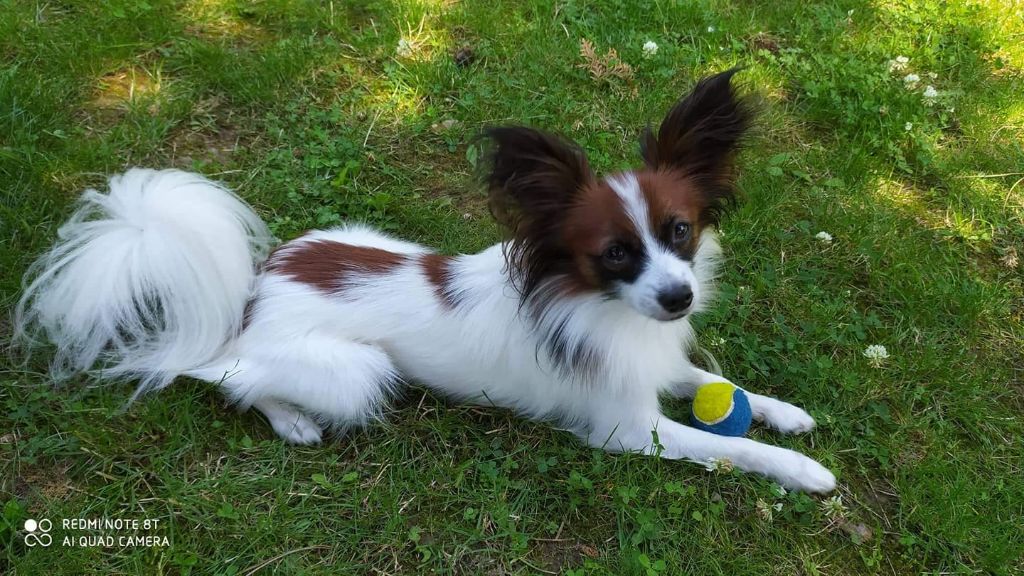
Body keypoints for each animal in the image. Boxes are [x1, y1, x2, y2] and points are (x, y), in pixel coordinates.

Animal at [14, 69, 831, 491]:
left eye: (679, 232)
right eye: (615, 254)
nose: (679, 297)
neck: (599, 307)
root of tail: (256, 289)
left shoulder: (651, 361)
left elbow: (715, 385)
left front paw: (787, 413)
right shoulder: (628, 429)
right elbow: (729, 447)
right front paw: (801, 470)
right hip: (357, 371)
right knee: (222, 376)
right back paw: (292, 419)